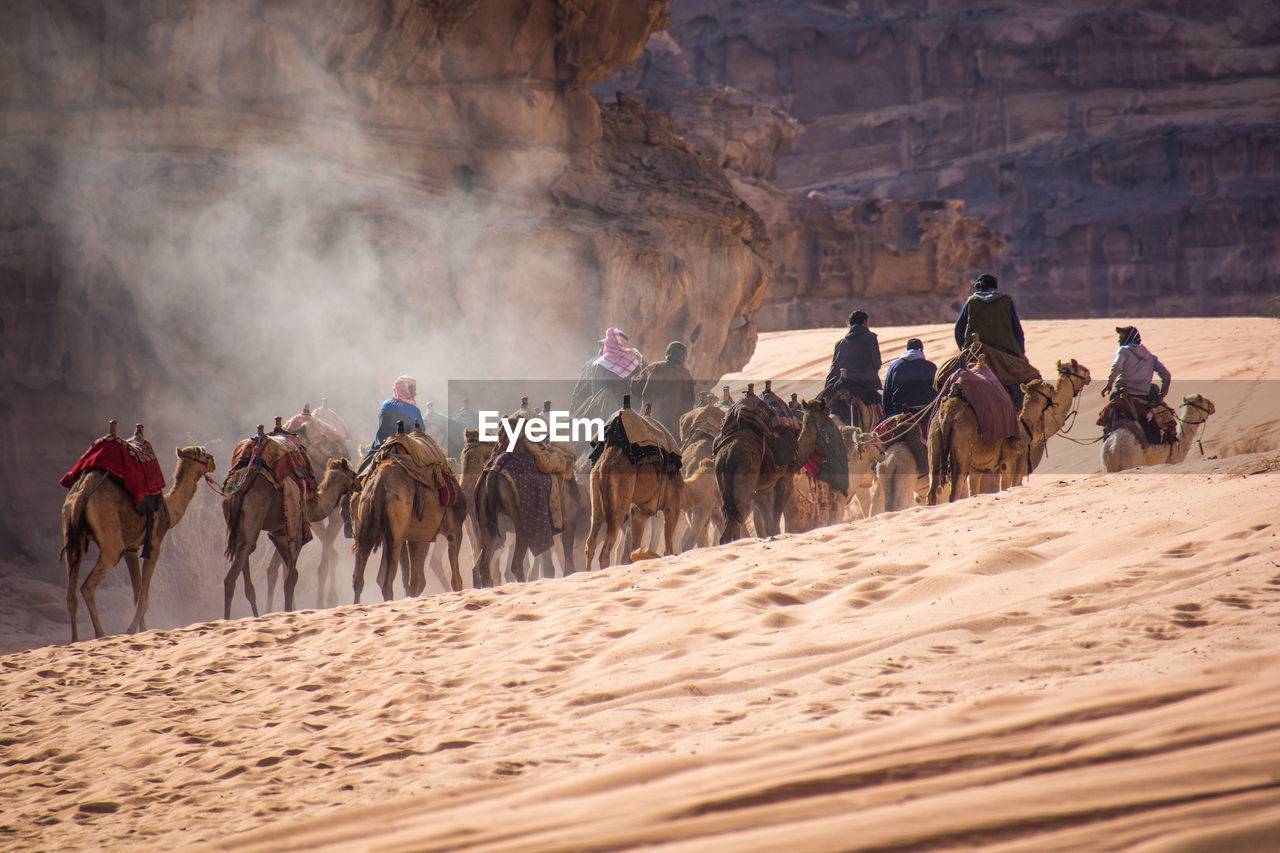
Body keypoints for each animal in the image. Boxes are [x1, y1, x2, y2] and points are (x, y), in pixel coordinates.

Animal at [61, 445, 215, 637]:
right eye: (203, 454)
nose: (213, 461)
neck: (168, 510)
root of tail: (82, 494)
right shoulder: (154, 543)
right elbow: (144, 597)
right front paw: (131, 629)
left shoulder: (131, 549)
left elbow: (136, 592)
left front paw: (142, 630)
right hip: (110, 539)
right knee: (88, 586)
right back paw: (101, 634)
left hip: (72, 535)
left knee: (71, 592)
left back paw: (75, 639)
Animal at [222, 455, 358, 614]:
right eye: (353, 473)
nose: (360, 483)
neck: (312, 504)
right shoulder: (296, 533)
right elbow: (291, 576)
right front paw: (289, 610)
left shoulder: (278, 534)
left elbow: (285, 572)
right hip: (253, 518)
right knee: (232, 576)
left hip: (237, 524)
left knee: (246, 571)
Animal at [350, 455, 471, 601]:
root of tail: (378, 484)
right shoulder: (454, 530)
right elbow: (456, 580)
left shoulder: (415, 537)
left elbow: (414, 580)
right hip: (396, 534)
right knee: (387, 582)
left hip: (364, 528)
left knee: (358, 578)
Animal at [716, 394, 824, 540]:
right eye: (824, 409)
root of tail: (728, 457)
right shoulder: (785, 480)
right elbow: (776, 514)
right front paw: (775, 536)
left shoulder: (762, 490)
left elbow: (768, 519)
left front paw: (771, 536)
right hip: (743, 482)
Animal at [926, 373, 1054, 504]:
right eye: (1045, 386)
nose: (1052, 387)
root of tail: (946, 415)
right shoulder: (1007, 459)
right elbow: (1006, 486)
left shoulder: (976, 468)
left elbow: (974, 491)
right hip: (962, 443)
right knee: (955, 488)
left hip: (934, 438)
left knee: (933, 488)